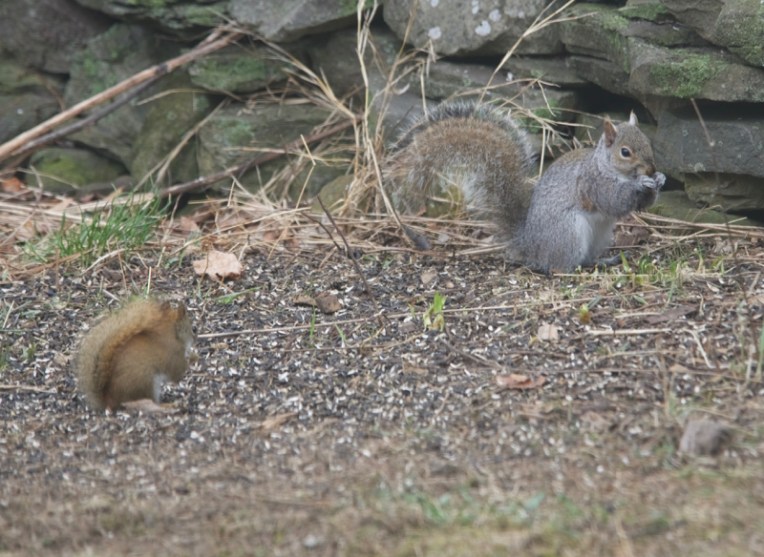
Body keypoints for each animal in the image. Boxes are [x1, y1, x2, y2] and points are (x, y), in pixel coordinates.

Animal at [386, 102, 666, 272]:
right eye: (625, 152)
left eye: (648, 141)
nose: (651, 168)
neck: (607, 166)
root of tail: (531, 246)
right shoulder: (592, 183)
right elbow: (614, 200)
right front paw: (642, 183)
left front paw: (659, 180)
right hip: (568, 233)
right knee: (559, 266)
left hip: (601, 235)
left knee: (587, 257)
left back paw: (603, 260)